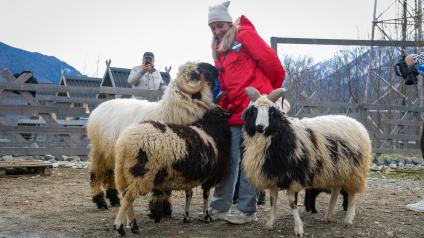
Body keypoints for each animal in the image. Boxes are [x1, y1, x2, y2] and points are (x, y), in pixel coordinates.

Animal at [87, 61, 219, 208]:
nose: (217, 69)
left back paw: (114, 199)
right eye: (198, 72)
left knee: (111, 174)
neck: (168, 112)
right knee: (95, 173)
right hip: (99, 150)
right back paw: (100, 200)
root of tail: (99, 107)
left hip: (111, 151)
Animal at [112, 106, 232, 236]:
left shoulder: (188, 176)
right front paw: (206, 216)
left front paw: (186, 216)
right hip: (141, 175)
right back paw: (120, 227)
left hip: (122, 173)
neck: (212, 130)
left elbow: (189, 194)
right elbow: (205, 196)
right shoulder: (210, 177)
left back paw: (132, 225)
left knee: (126, 196)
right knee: (128, 198)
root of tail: (124, 144)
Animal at [242, 87, 372, 238]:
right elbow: (273, 200)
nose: (260, 127)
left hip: (354, 170)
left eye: (272, 111)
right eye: (254, 110)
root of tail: (357, 123)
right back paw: (327, 217)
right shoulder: (273, 175)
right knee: (335, 191)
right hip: (335, 170)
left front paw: (298, 229)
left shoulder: (293, 177)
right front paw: (270, 223)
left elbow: (292, 203)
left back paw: (348, 219)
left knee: (352, 195)